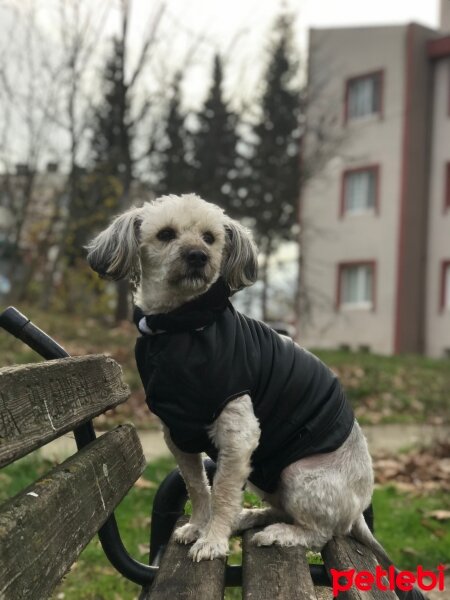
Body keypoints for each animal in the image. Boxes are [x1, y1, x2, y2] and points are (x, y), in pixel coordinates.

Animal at [86, 196, 424, 596]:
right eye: (166, 234)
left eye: (210, 237)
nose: (198, 256)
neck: (181, 328)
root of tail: (358, 510)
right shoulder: (179, 436)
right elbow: (198, 487)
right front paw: (198, 526)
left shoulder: (238, 435)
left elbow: (223, 492)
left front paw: (212, 540)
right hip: (268, 478)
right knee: (283, 510)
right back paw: (251, 517)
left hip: (299, 475)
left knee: (320, 533)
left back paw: (278, 534)